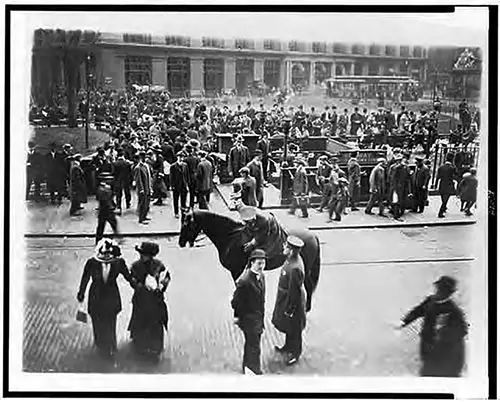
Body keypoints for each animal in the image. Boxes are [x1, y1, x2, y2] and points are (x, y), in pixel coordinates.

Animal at [178, 208, 322, 312]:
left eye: (187, 224)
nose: (180, 243)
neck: (231, 238)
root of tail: (313, 235)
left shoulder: (236, 270)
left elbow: (238, 285)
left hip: (306, 268)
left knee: (308, 285)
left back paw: (307, 307)